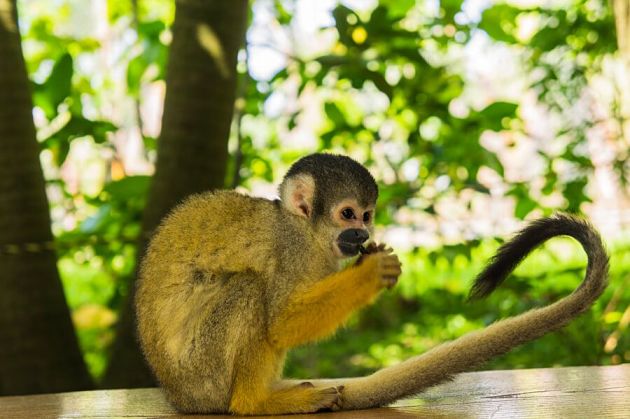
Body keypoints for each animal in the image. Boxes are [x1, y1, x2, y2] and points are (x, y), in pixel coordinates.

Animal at [136, 153, 608, 416]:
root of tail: (180, 397)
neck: (306, 231)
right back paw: (254, 403)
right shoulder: (291, 250)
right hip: (203, 375)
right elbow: (280, 322)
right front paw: (368, 275)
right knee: (249, 290)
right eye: (347, 214)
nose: (361, 234)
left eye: (366, 215)